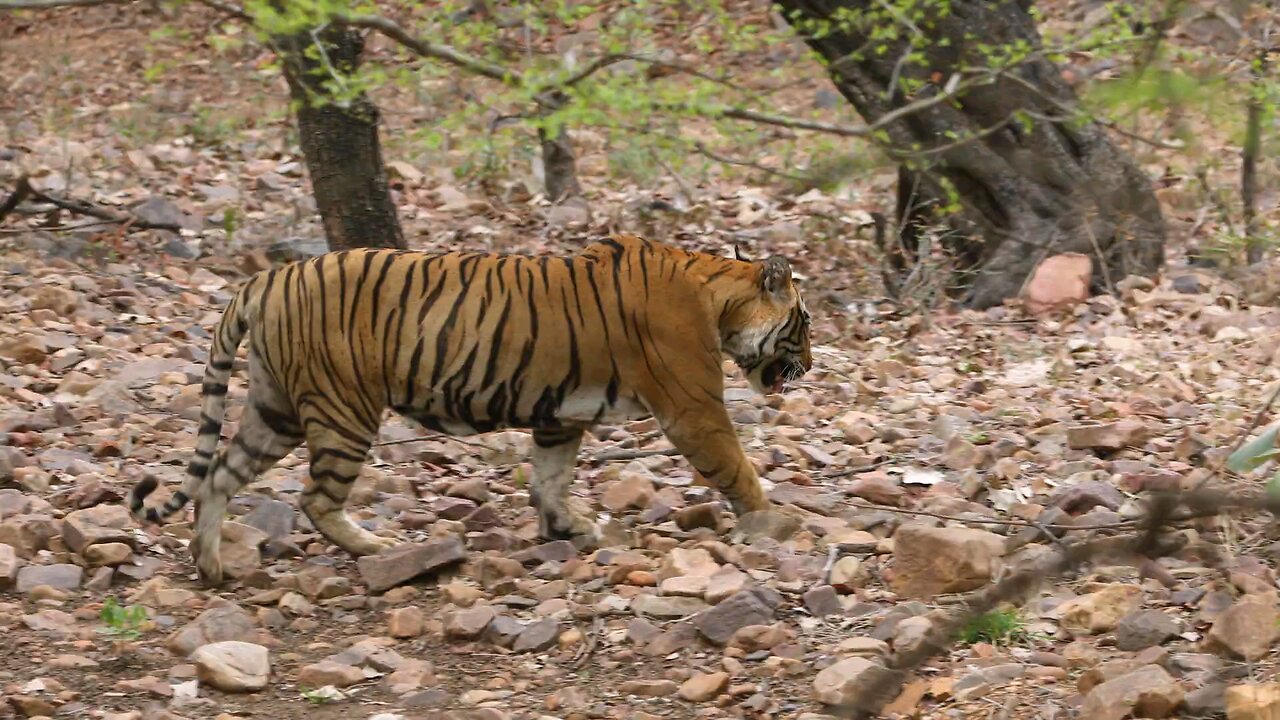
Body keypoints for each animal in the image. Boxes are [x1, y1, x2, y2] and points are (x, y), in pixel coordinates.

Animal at [129, 230, 808, 584]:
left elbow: (550, 480)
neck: (717, 296)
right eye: (802, 323)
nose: (811, 365)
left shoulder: (559, 416)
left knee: (219, 475)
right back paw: (377, 550)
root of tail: (266, 278)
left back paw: (212, 565)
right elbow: (735, 466)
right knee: (316, 498)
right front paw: (775, 523)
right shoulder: (693, 406)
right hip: (343, 408)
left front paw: (571, 528)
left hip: (277, 411)